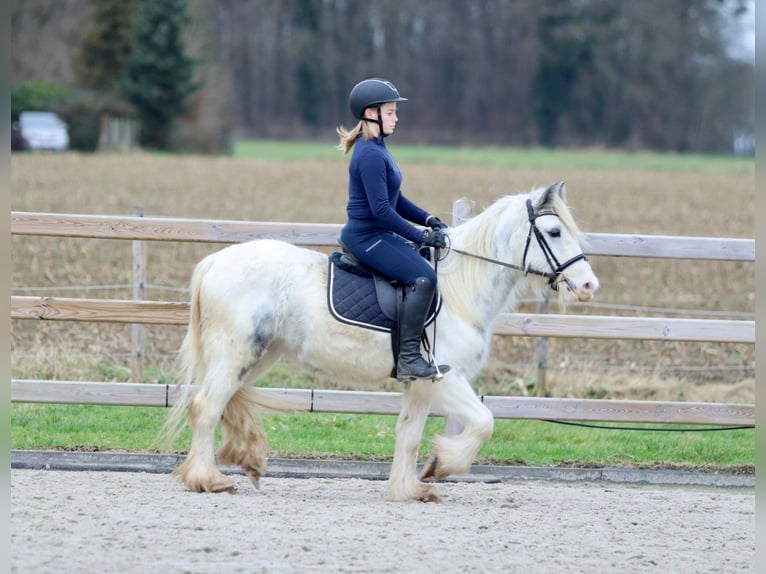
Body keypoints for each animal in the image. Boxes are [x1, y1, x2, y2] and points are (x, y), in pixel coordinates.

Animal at [166, 182, 600, 502]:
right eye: (554, 232)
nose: (588, 286)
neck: (461, 289)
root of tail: (216, 261)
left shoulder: (421, 384)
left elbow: (408, 435)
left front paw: (409, 489)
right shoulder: (447, 377)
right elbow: (483, 421)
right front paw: (443, 465)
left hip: (257, 355)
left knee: (225, 403)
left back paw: (247, 461)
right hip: (236, 353)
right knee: (206, 407)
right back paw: (208, 479)